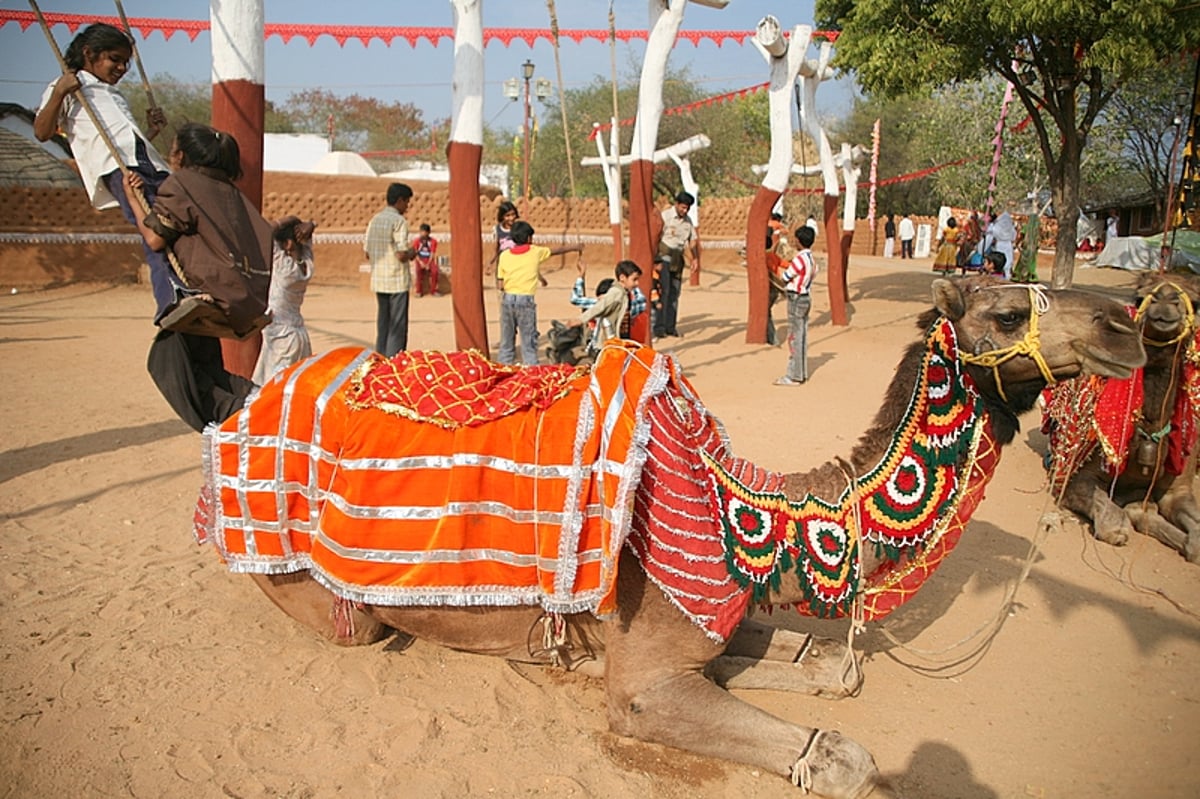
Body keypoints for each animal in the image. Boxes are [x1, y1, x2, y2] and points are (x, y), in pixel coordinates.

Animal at [194, 275, 1142, 796]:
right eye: (1007, 312)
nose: (1131, 324)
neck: (754, 507)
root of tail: (237, 412)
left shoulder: (716, 611)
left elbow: (826, 665)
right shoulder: (644, 682)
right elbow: (843, 753)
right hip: (327, 596)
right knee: (356, 619)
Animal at [1041, 273, 1200, 559]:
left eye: (1196, 302)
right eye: (1139, 297)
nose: (1165, 299)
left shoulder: (1178, 488)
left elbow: (1196, 539)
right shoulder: (1072, 479)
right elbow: (1113, 520)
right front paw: (1120, 528)